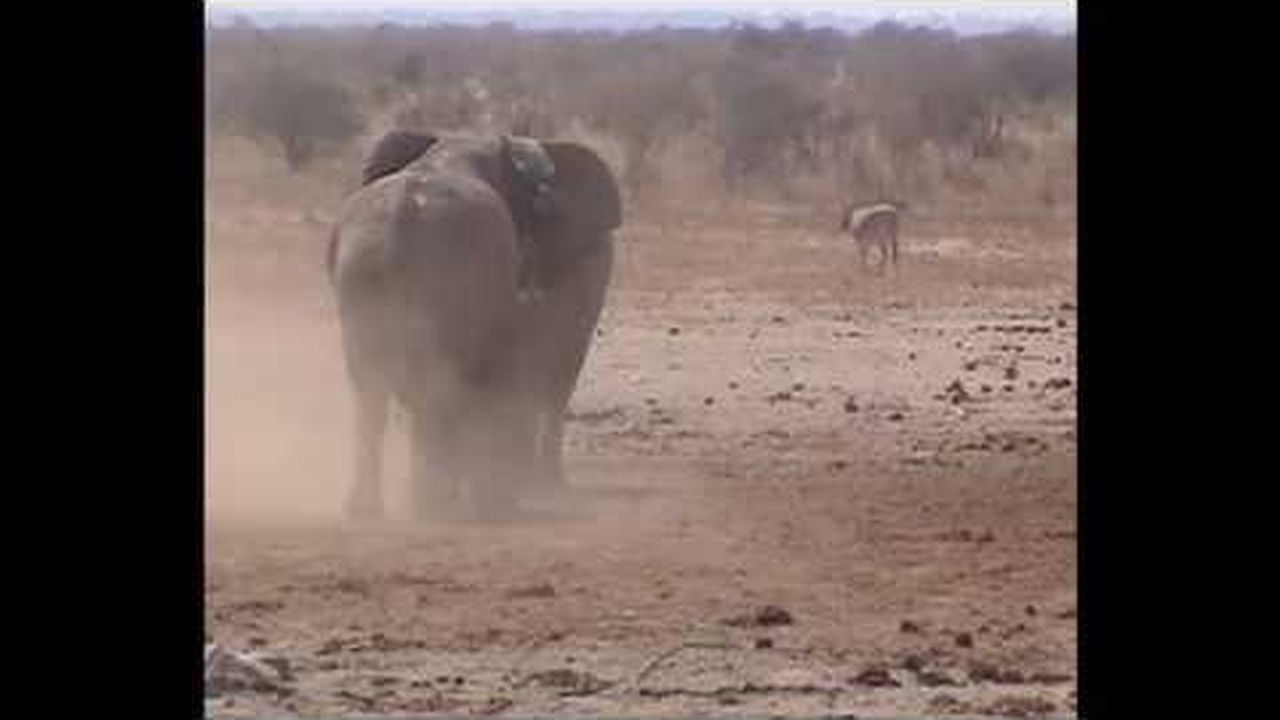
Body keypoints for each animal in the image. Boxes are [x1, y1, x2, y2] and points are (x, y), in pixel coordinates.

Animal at [328, 130, 622, 521]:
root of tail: (401, 222)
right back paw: (438, 503)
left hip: (362, 280)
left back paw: (376, 508)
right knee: (436, 386)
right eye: (543, 206)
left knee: (375, 390)